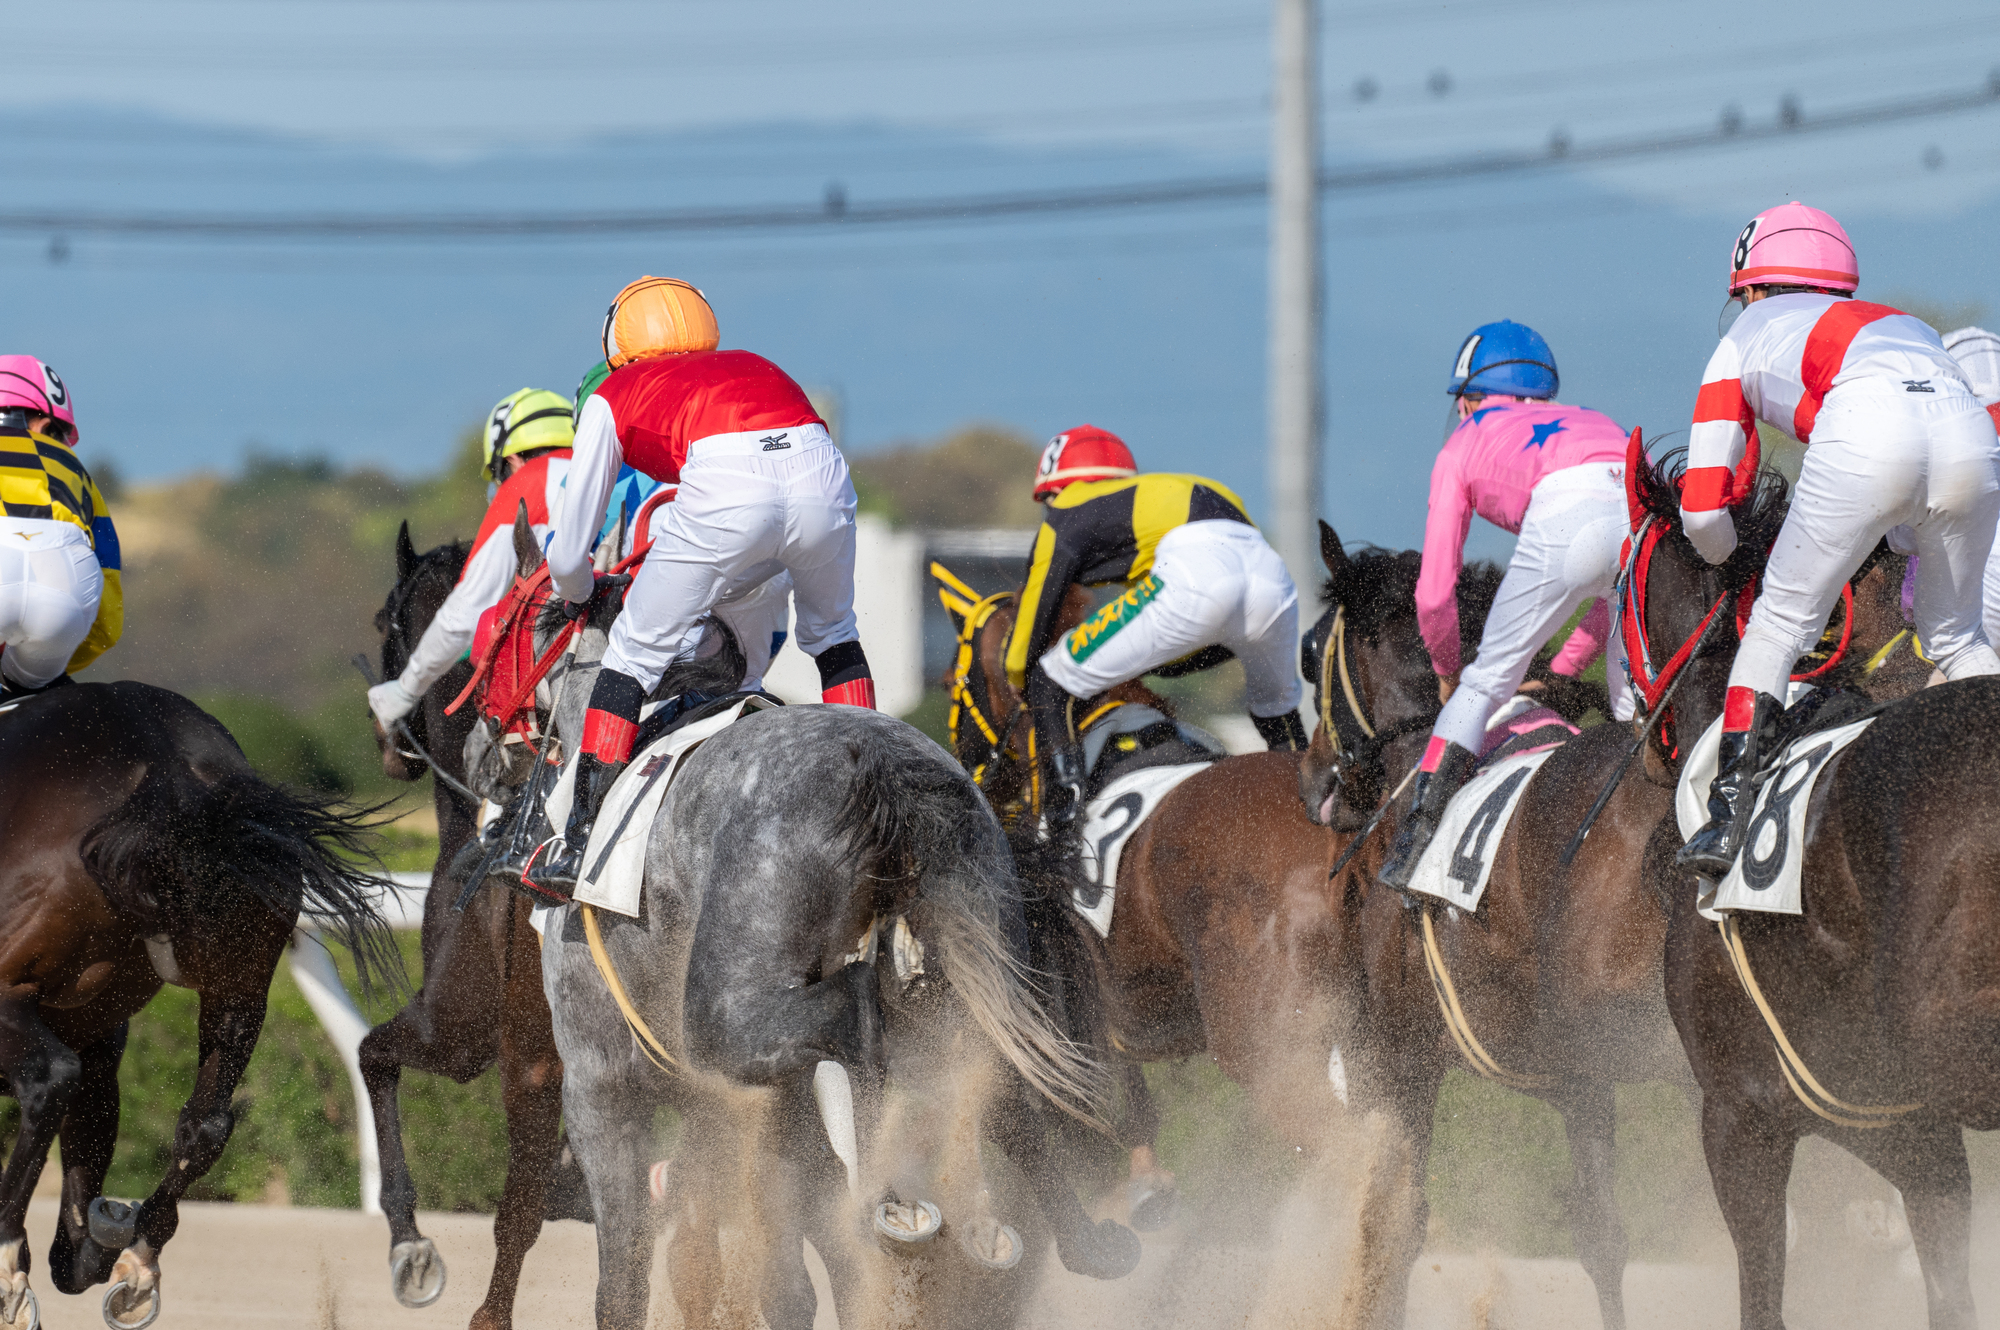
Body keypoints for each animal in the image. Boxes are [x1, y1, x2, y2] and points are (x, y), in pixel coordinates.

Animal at [0, 680, 398, 1328]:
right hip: (240, 981)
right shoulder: (102, 1031)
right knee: (205, 1122)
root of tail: (165, 766)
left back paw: (11, 1262)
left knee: (49, 1078)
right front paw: (102, 1235)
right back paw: (134, 1257)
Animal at [360, 524, 584, 1320]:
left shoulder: (457, 1029)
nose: (386, 744)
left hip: (530, 1052)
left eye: (384, 619)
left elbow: (371, 1054)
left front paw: (409, 1247)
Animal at [1624, 446, 2000, 1328]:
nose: (1636, 725)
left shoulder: (1739, 1115)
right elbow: (1950, 1288)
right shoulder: (1906, 1130)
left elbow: (1763, 1291)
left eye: (1619, 584)